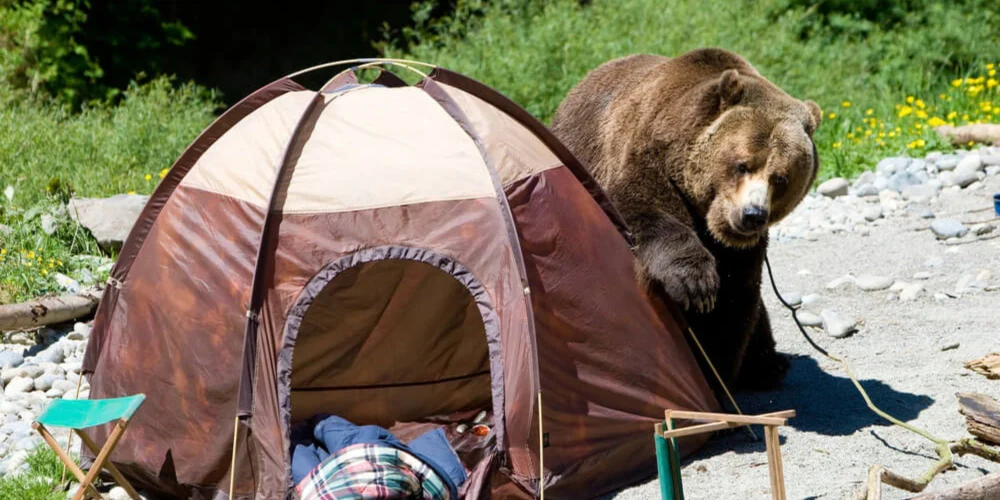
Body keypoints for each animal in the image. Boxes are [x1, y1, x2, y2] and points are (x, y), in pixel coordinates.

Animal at [551, 48, 821, 390]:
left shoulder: (742, 250)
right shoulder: (647, 159)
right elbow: (644, 211)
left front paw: (716, 371)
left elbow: (734, 301)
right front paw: (695, 285)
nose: (752, 215)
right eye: (743, 164)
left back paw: (769, 366)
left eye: (781, 178)